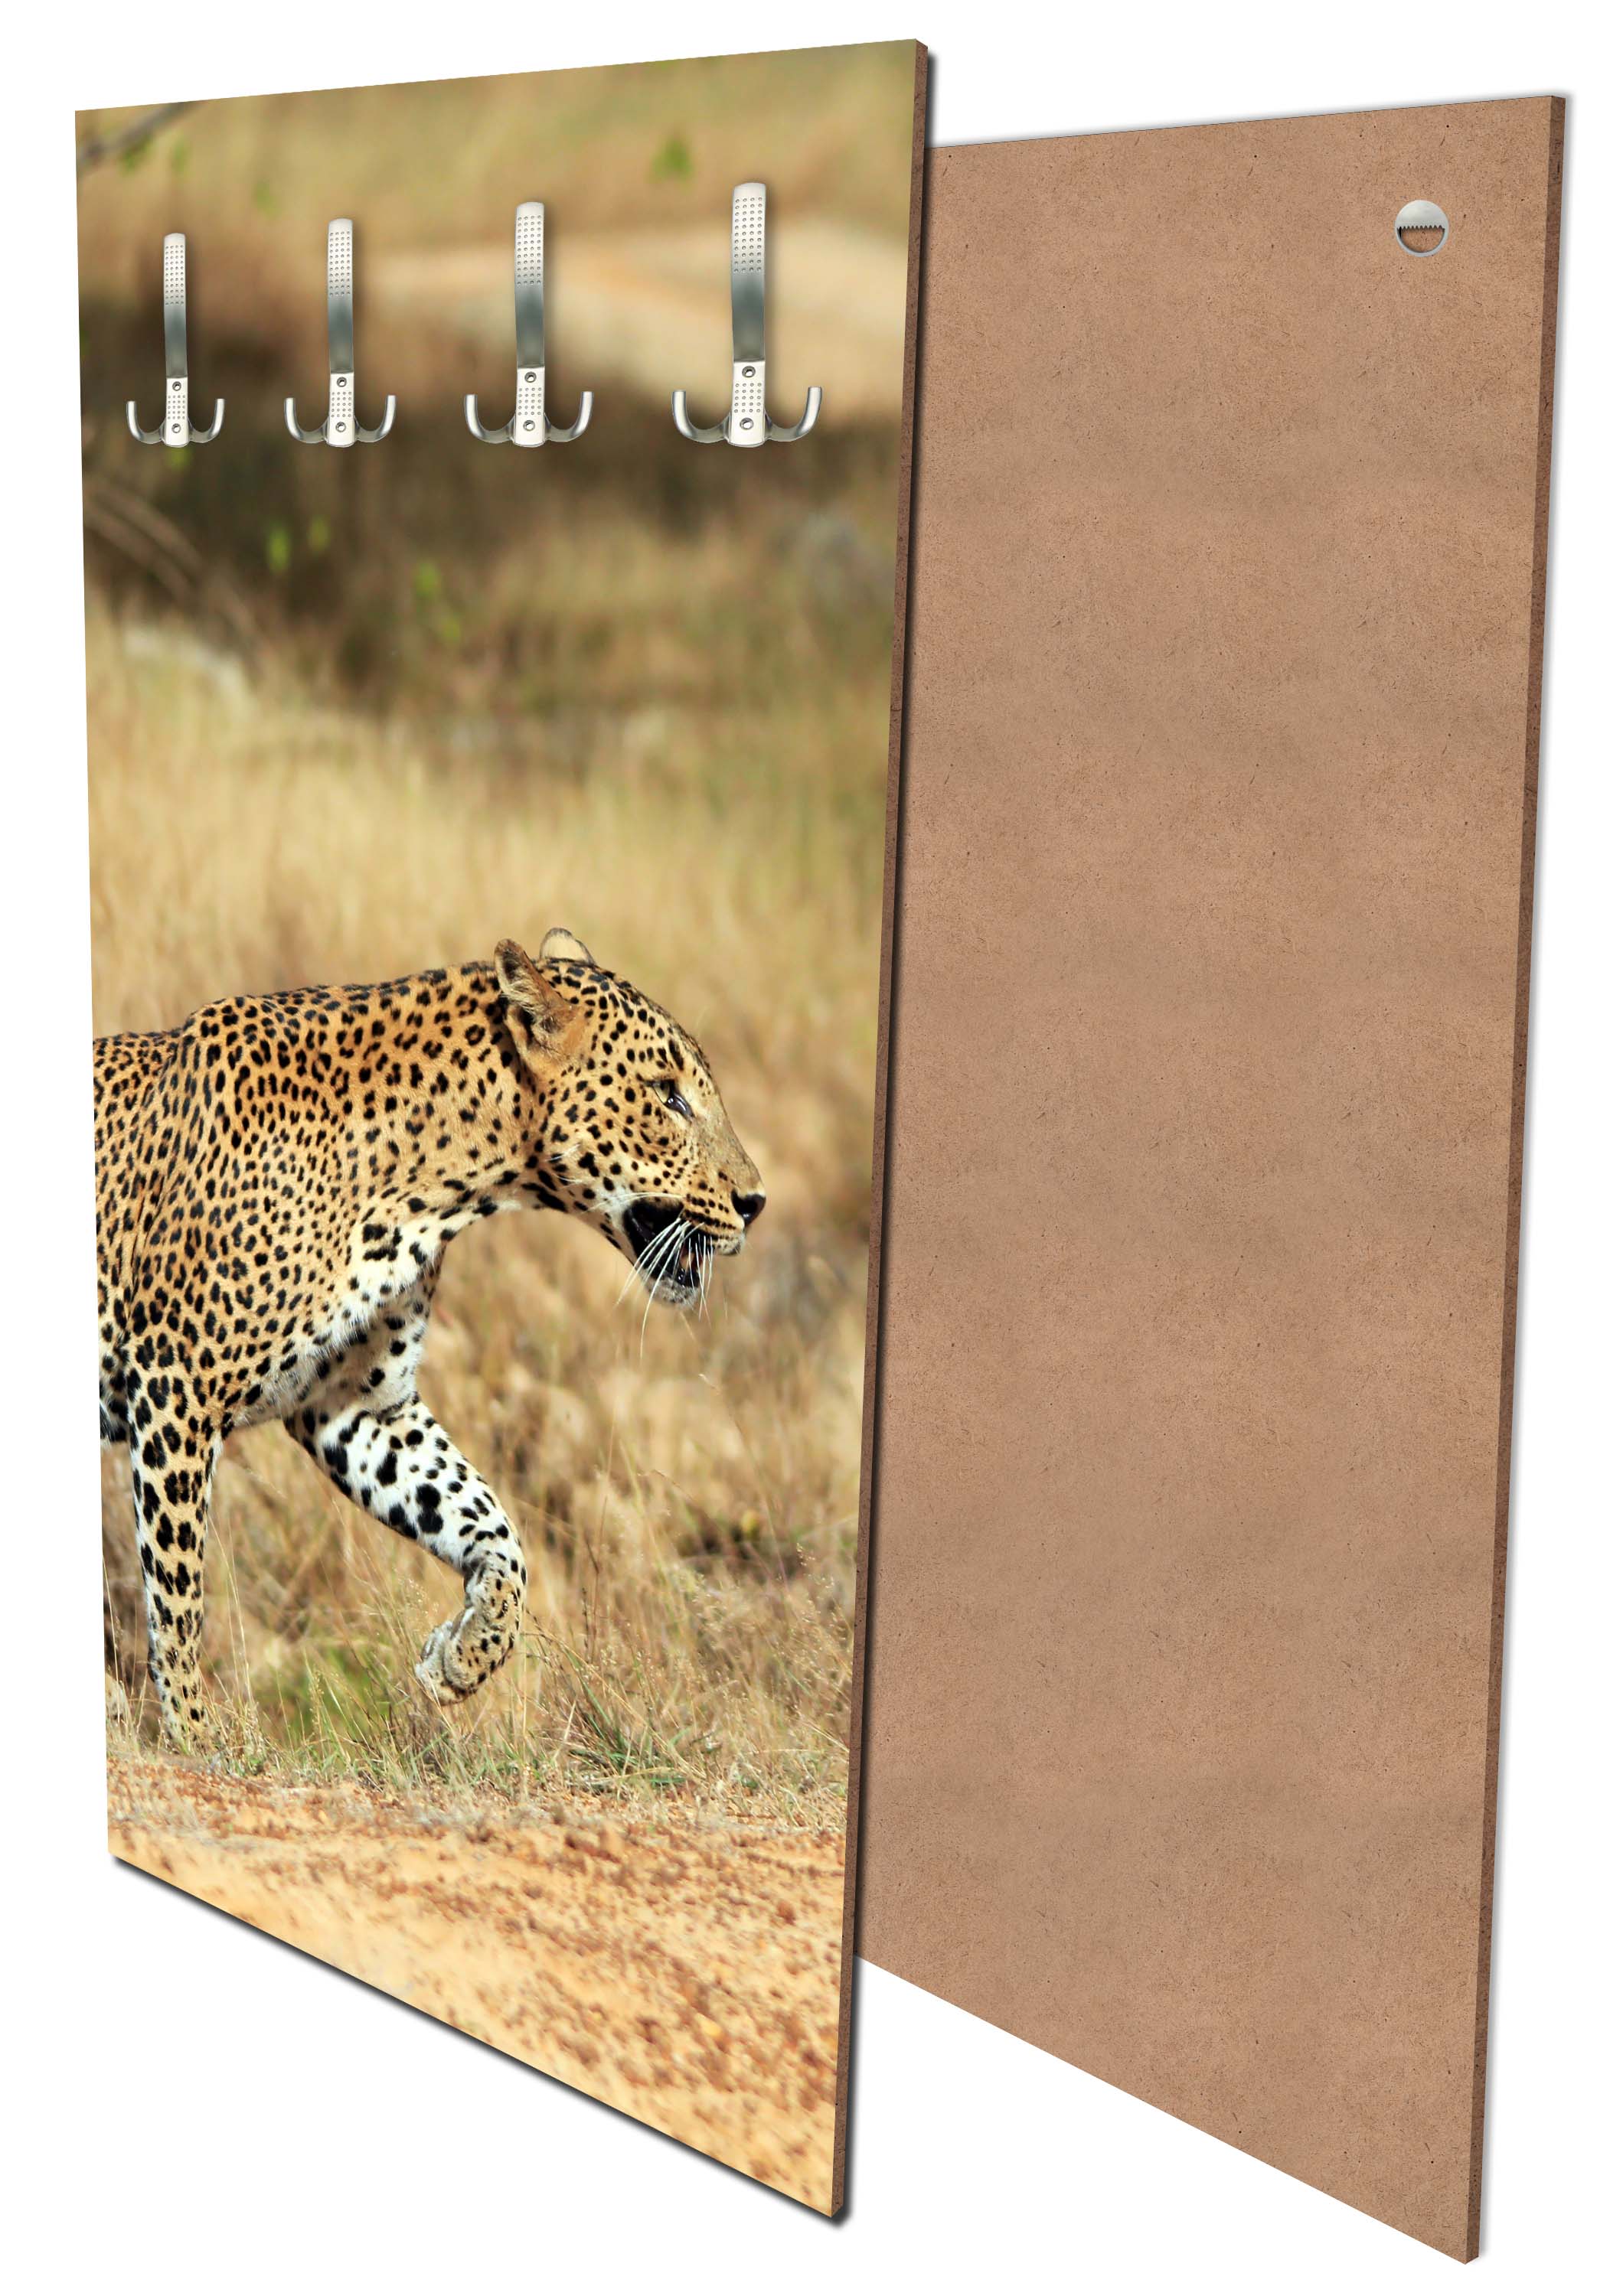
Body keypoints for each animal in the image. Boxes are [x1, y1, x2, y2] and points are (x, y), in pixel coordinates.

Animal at [95, 927, 764, 1744]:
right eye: (668, 1095)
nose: (757, 1201)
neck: (438, 1190)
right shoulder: (177, 1384)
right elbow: (178, 1593)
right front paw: (198, 1733)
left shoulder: (357, 1405)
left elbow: (491, 1524)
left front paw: (465, 1656)